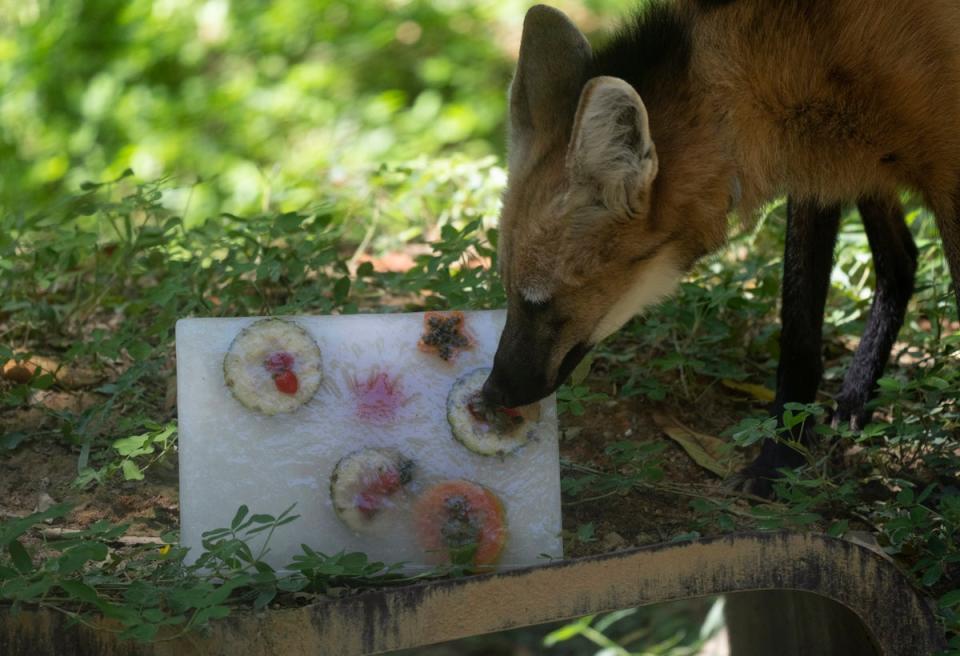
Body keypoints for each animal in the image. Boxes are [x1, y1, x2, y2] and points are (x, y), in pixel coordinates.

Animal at [484, 1, 960, 486]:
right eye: (508, 290)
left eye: (540, 303)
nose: (490, 393)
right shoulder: (816, 159)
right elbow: (798, 329)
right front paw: (779, 458)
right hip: (868, 162)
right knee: (902, 259)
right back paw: (855, 399)